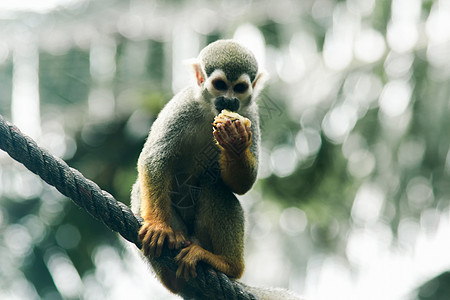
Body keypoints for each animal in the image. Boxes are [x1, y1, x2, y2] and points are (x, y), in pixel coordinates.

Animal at [130, 38, 266, 294]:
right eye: (220, 85)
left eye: (240, 88)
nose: (229, 100)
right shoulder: (182, 106)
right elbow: (155, 158)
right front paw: (158, 226)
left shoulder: (251, 115)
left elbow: (244, 184)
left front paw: (236, 142)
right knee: (141, 189)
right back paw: (173, 273)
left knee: (215, 186)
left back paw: (228, 265)